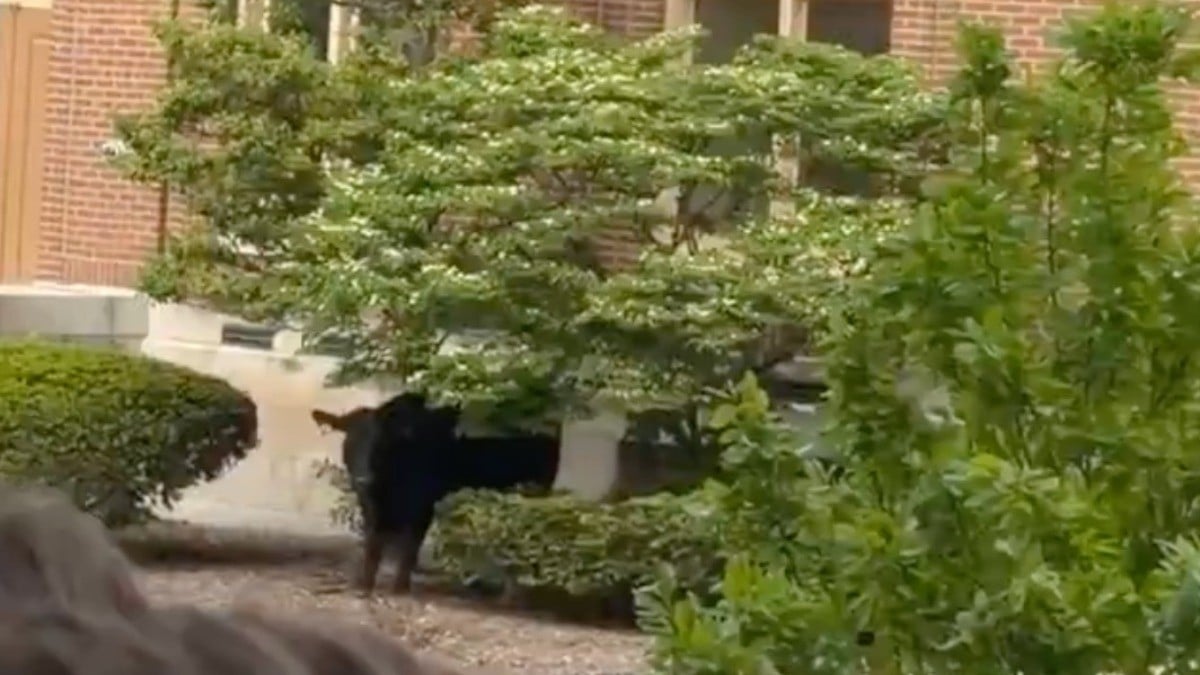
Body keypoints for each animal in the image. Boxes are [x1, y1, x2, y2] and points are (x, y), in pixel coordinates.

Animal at [312, 392, 560, 594]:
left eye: (379, 442)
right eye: (349, 442)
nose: (363, 478)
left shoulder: (423, 500)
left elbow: (410, 544)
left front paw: (400, 587)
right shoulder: (373, 503)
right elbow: (374, 541)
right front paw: (364, 584)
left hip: (537, 486)